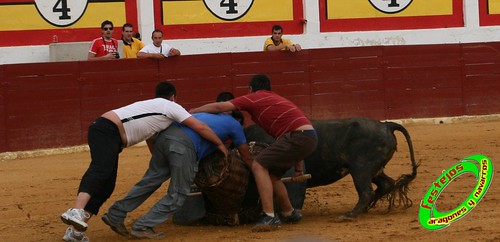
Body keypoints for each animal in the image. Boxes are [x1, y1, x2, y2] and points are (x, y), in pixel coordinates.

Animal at [174, 117, 420, 225]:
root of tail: (386, 124)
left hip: (361, 168)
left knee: (366, 191)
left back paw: (349, 214)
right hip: (372, 169)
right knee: (385, 184)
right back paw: (367, 209)